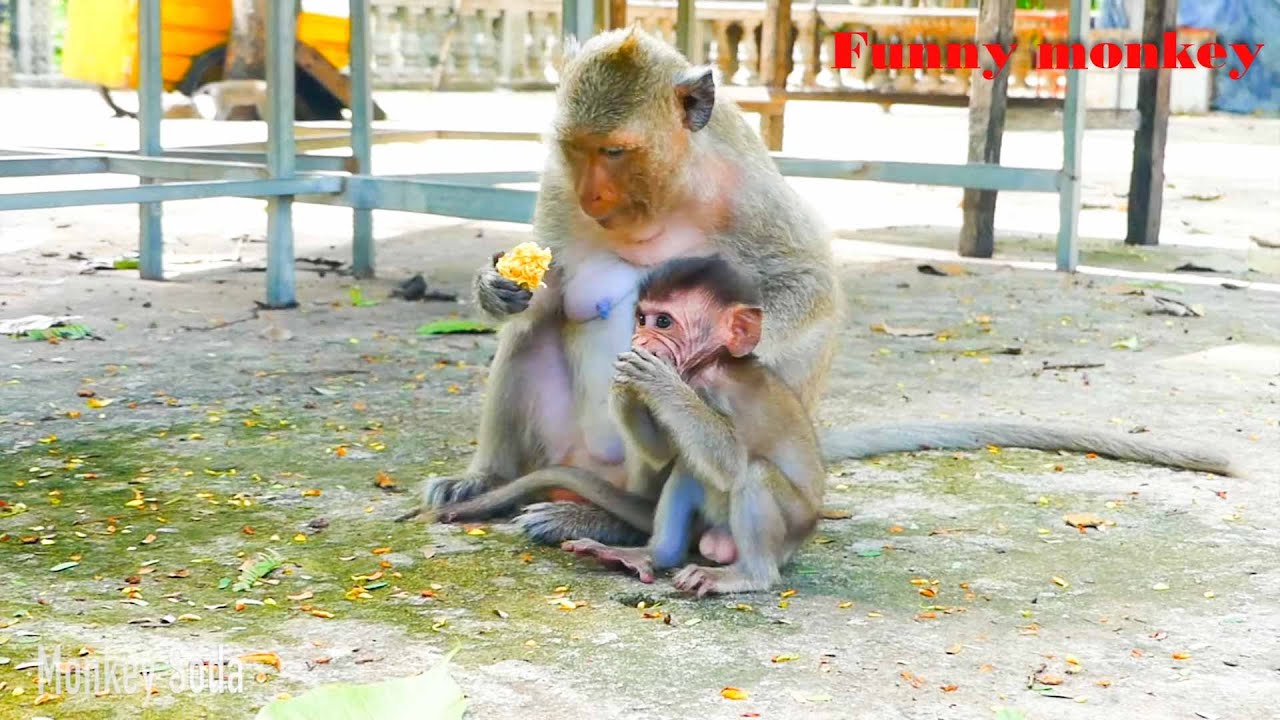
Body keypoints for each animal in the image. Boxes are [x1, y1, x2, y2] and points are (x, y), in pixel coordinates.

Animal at [403, 26, 1243, 546]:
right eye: (578, 150)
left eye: (616, 151)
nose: (593, 196)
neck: (664, 195)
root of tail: (589, 478)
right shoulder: (554, 188)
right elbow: (546, 296)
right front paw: (498, 287)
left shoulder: (747, 189)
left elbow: (808, 290)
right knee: (532, 338)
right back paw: (488, 481)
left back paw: (611, 524)